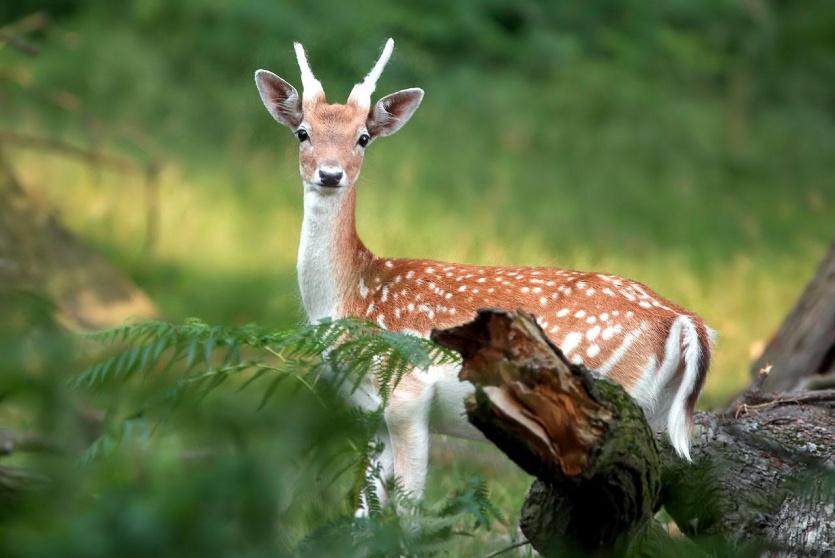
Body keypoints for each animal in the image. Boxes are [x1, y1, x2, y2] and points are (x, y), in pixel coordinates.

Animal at [251, 38, 716, 512]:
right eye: (302, 132)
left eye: (362, 138)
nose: (330, 174)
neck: (351, 295)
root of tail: (685, 321)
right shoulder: (368, 410)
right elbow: (365, 511)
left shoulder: (407, 394)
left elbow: (408, 511)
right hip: (654, 415)